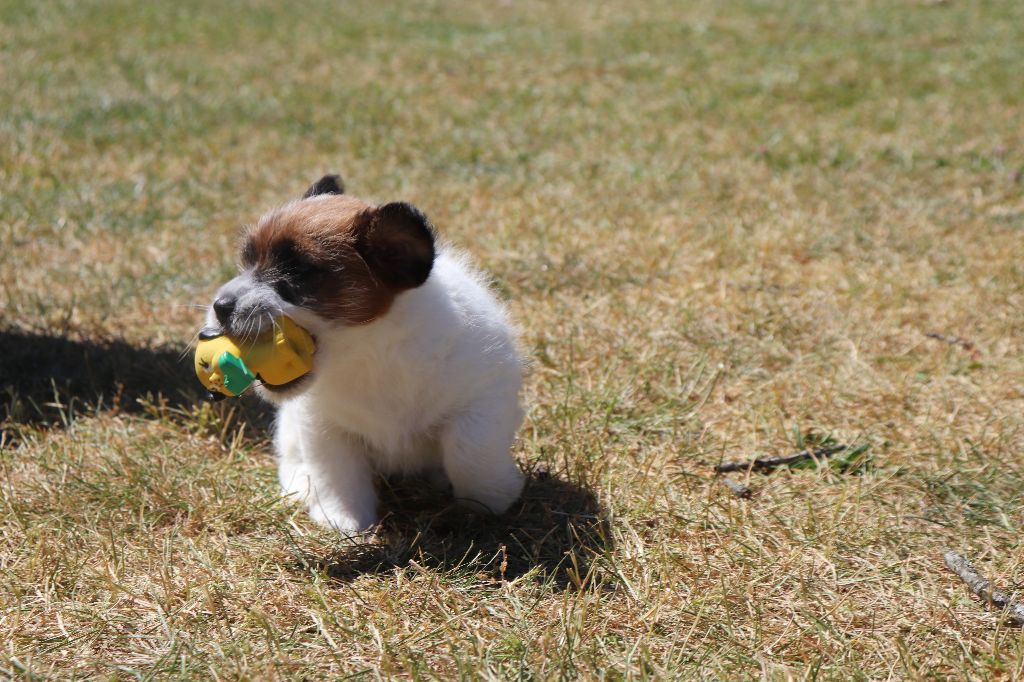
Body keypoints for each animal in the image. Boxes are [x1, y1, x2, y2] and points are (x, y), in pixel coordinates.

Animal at [207, 174, 528, 532]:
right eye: (247, 261)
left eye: (298, 271)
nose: (220, 307)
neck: (371, 351)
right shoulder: (323, 424)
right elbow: (337, 471)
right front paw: (342, 519)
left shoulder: (482, 402)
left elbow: (470, 451)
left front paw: (489, 501)